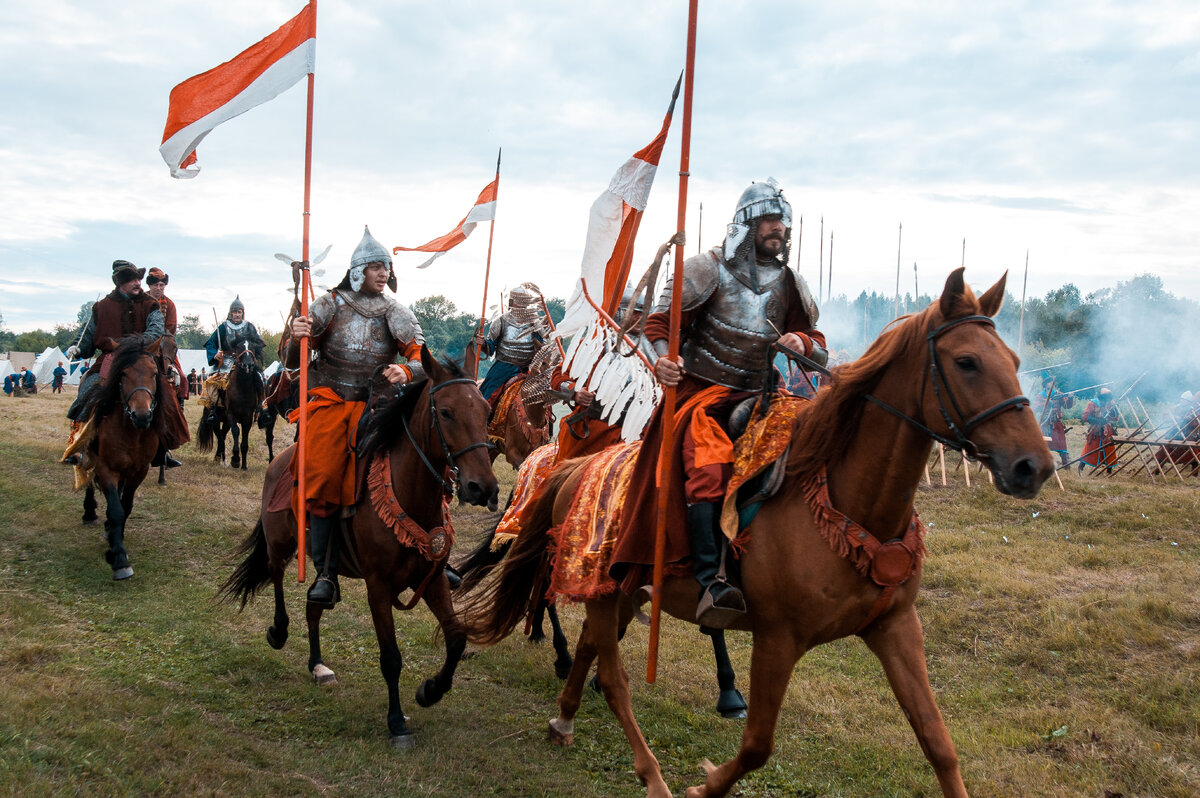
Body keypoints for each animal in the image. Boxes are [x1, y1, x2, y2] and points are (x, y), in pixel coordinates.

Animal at [79, 336, 169, 578]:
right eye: (124, 374)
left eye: (154, 374)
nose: (142, 415)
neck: (132, 432)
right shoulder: (105, 468)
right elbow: (116, 509)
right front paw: (119, 558)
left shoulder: (139, 471)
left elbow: (125, 506)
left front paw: (114, 537)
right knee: (88, 481)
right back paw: (89, 513)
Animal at [219, 348, 496, 748]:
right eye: (445, 412)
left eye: (487, 413)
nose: (482, 487)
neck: (407, 492)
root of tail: (281, 460)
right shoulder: (378, 587)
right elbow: (391, 658)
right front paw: (397, 721)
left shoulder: (431, 579)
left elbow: (457, 637)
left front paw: (430, 691)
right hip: (280, 543)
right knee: (275, 575)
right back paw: (279, 631)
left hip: (327, 569)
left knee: (315, 604)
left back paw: (318, 665)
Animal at [456, 268, 1051, 796]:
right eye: (966, 362)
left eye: (1015, 362)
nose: (1034, 466)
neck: (842, 501)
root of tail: (575, 467)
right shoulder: (778, 638)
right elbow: (757, 745)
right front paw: (704, 785)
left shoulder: (895, 627)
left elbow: (937, 742)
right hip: (601, 585)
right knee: (615, 678)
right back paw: (652, 775)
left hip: (620, 589)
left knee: (592, 651)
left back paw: (565, 718)